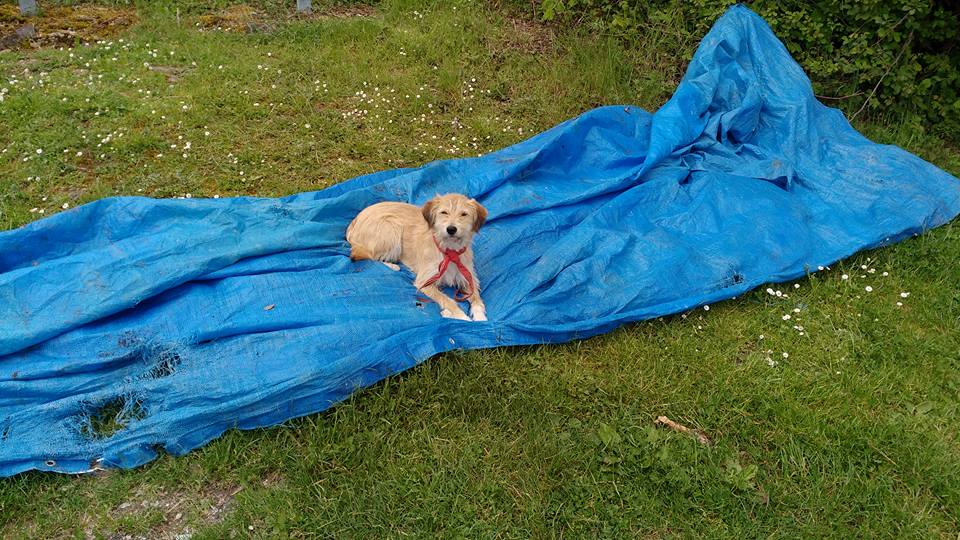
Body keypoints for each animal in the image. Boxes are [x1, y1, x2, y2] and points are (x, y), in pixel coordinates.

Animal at [346, 194, 488, 320]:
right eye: (444, 212)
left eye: (464, 214)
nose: (451, 229)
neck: (449, 251)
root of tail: (356, 219)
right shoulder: (424, 282)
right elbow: (448, 300)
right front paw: (462, 316)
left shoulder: (469, 279)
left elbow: (477, 300)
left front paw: (480, 318)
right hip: (392, 228)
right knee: (363, 254)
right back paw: (393, 266)